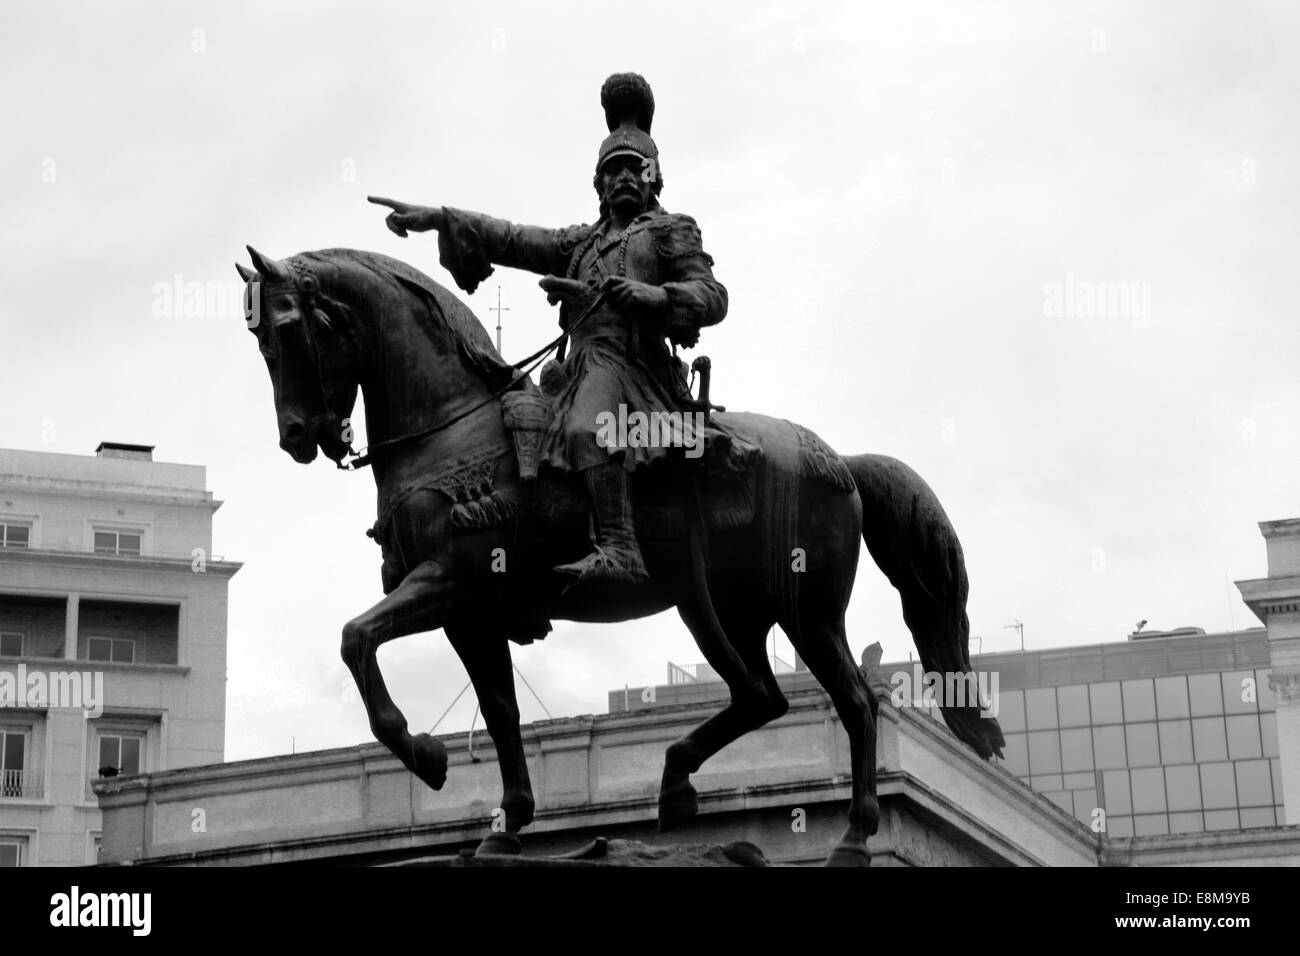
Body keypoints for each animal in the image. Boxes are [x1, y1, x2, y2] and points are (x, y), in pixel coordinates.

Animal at [236, 244, 1003, 868]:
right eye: (259, 340)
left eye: (287, 330)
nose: (298, 437)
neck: (455, 431)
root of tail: (839, 461)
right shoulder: (472, 616)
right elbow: (500, 711)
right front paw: (505, 826)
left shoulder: (449, 582)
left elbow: (355, 637)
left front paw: (422, 753)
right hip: (726, 608)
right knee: (761, 695)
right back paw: (675, 785)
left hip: (804, 611)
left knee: (855, 703)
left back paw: (850, 836)